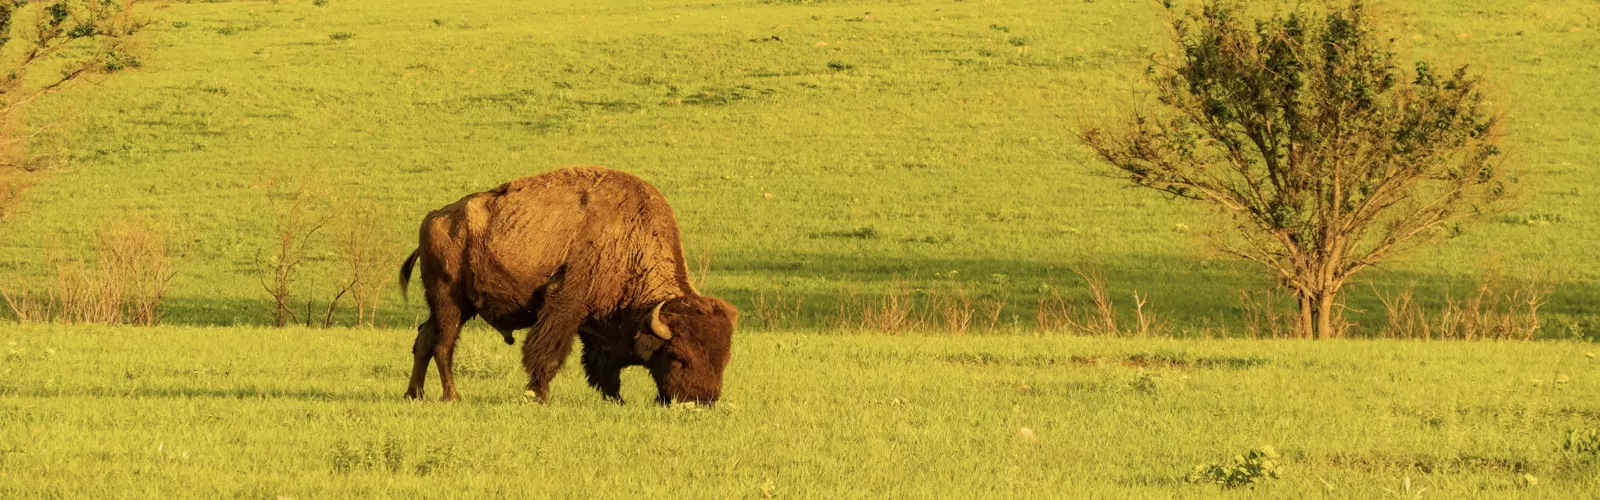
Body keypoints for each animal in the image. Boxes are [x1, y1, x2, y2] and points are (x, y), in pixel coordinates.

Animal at [400, 165, 736, 403]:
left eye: (723, 358)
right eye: (678, 357)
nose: (703, 399)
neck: (630, 238)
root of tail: (435, 218)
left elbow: (604, 367)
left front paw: (616, 399)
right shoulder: (565, 307)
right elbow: (548, 354)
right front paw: (538, 396)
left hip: (451, 304)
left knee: (424, 339)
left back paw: (414, 394)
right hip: (449, 300)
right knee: (443, 345)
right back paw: (452, 396)